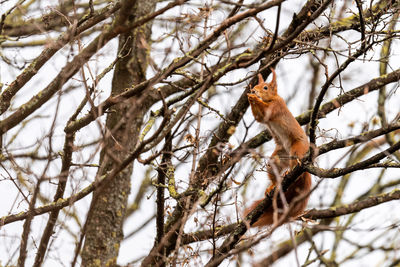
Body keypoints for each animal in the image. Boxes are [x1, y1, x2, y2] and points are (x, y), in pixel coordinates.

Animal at [244, 68, 312, 227]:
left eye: (265, 87)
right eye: (256, 85)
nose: (253, 90)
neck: (271, 99)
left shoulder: (277, 106)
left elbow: (266, 111)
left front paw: (254, 99)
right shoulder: (262, 117)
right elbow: (259, 117)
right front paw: (250, 98)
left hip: (297, 150)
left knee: (297, 166)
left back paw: (289, 172)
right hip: (278, 158)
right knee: (274, 169)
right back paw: (272, 187)